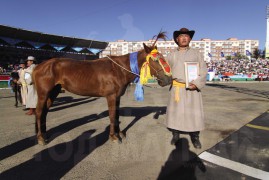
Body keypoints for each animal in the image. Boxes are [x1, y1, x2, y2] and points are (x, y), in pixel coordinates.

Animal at [32, 32, 171, 145]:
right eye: (156, 60)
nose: (168, 79)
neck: (119, 69)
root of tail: (39, 66)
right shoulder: (111, 96)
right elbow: (112, 116)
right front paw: (113, 137)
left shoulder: (117, 97)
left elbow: (117, 116)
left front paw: (119, 133)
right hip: (44, 93)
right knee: (39, 112)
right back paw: (40, 138)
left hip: (53, 92)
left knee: (44, 112)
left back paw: (44, 135)